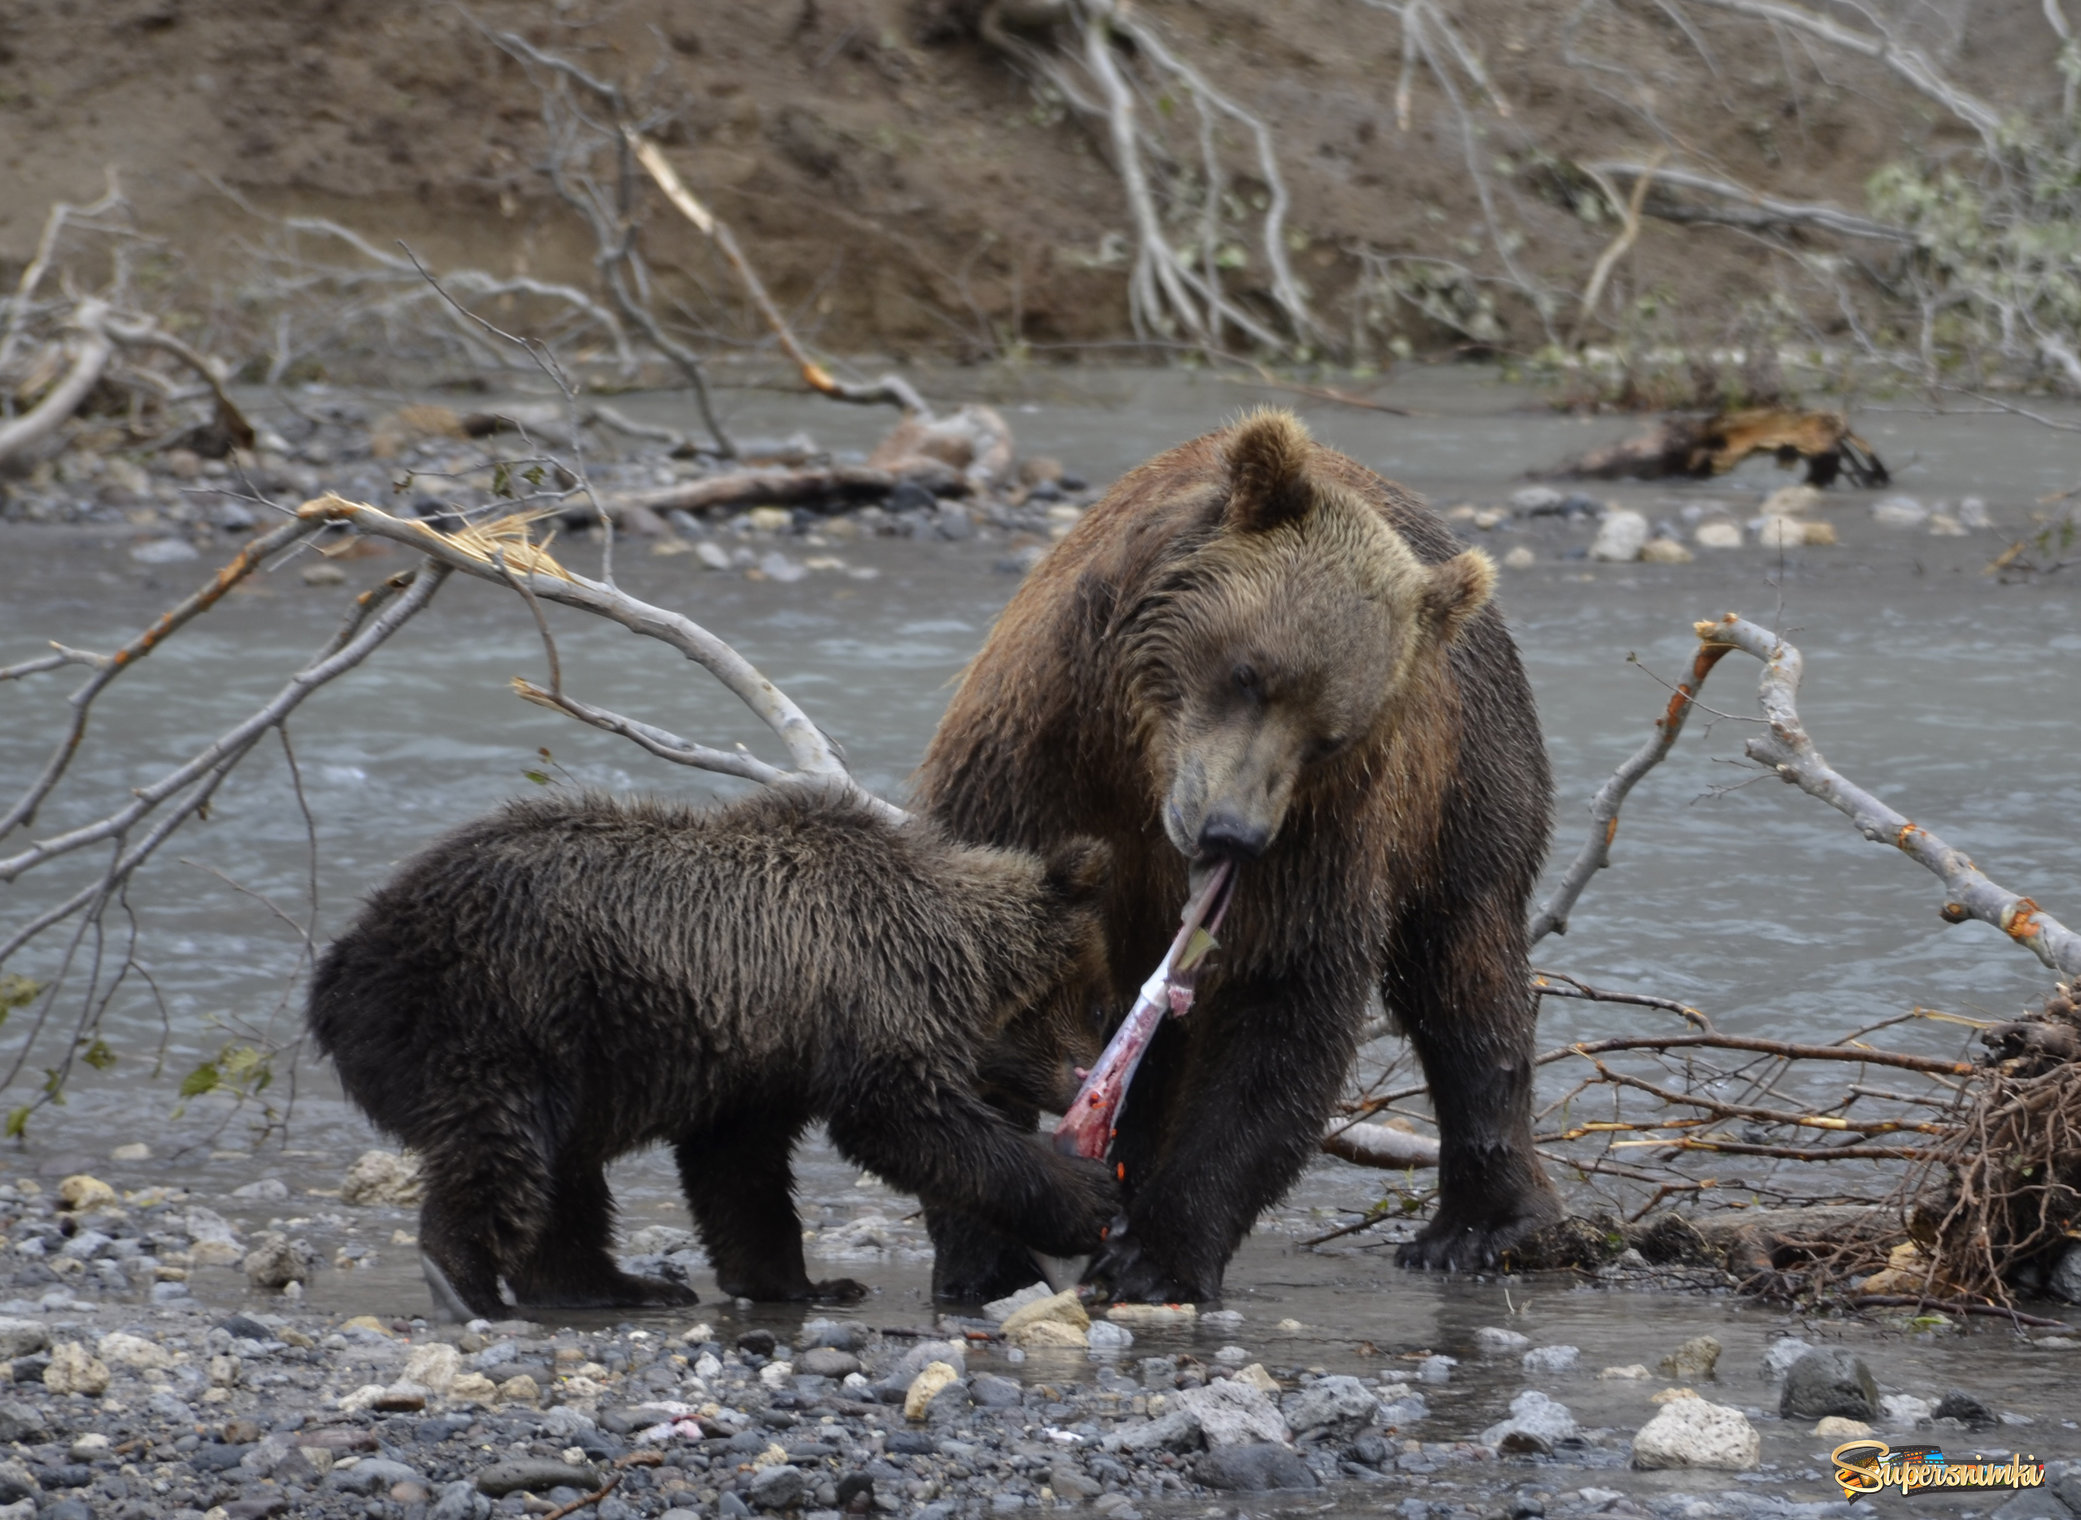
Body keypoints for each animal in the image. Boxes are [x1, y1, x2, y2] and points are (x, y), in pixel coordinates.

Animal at [919, 408, 1556, 1299]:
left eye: (1330, 735)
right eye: (1249, 671)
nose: (1229, 830)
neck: (1139, 773)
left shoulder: (1317, 838)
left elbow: (1281, 1003)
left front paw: (1156, 1258)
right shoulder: (1030, 765)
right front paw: (990, 1255)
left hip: (1467, 785)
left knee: (1464, 972)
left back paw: (1477, 1226)